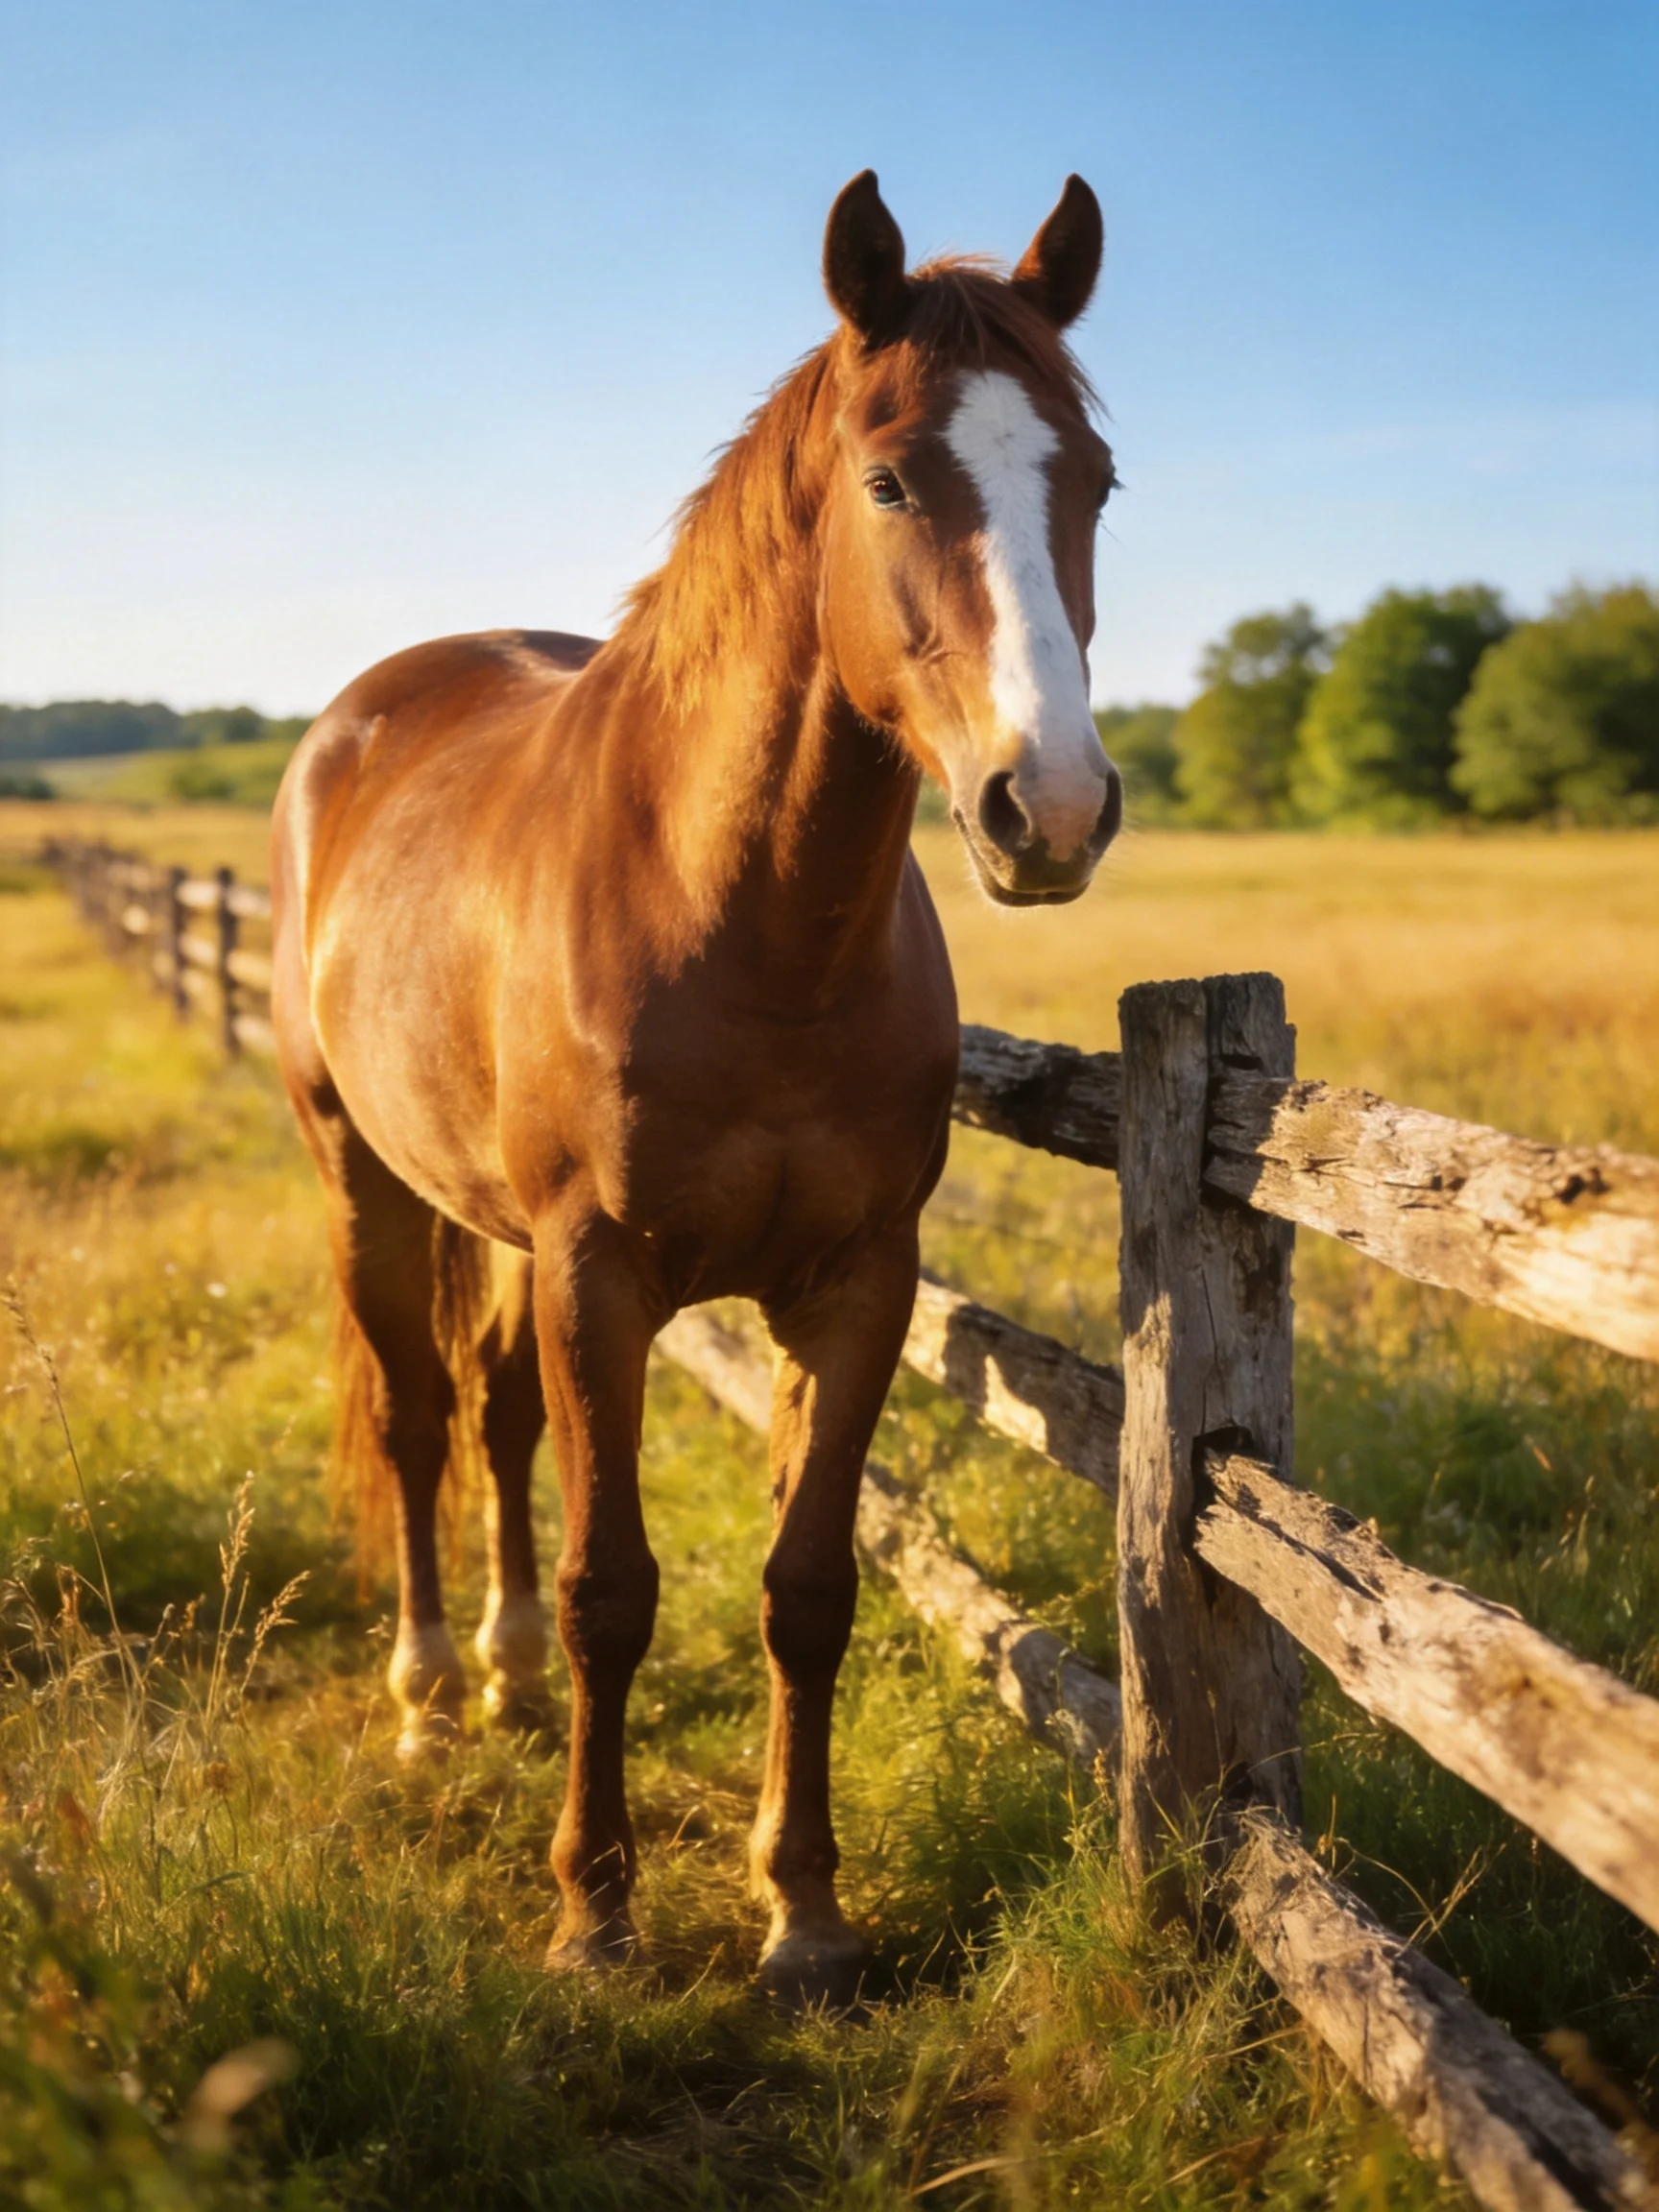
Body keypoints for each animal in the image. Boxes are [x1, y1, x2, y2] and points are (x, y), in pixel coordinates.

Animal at [269, 168, 1121, 2006]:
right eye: (889, 476)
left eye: (1091, 477)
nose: (1054, 806)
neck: (746, 925)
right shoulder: (601, 1273)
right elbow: (617, 1586)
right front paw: (596, 1910)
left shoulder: (857, 1282)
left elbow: (807, 1586)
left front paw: (803, 1913)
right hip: (364, 1180)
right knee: (423, 1413)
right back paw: (431, 1698)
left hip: (497, 1229)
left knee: (498, 1414)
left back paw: (505, 1674)